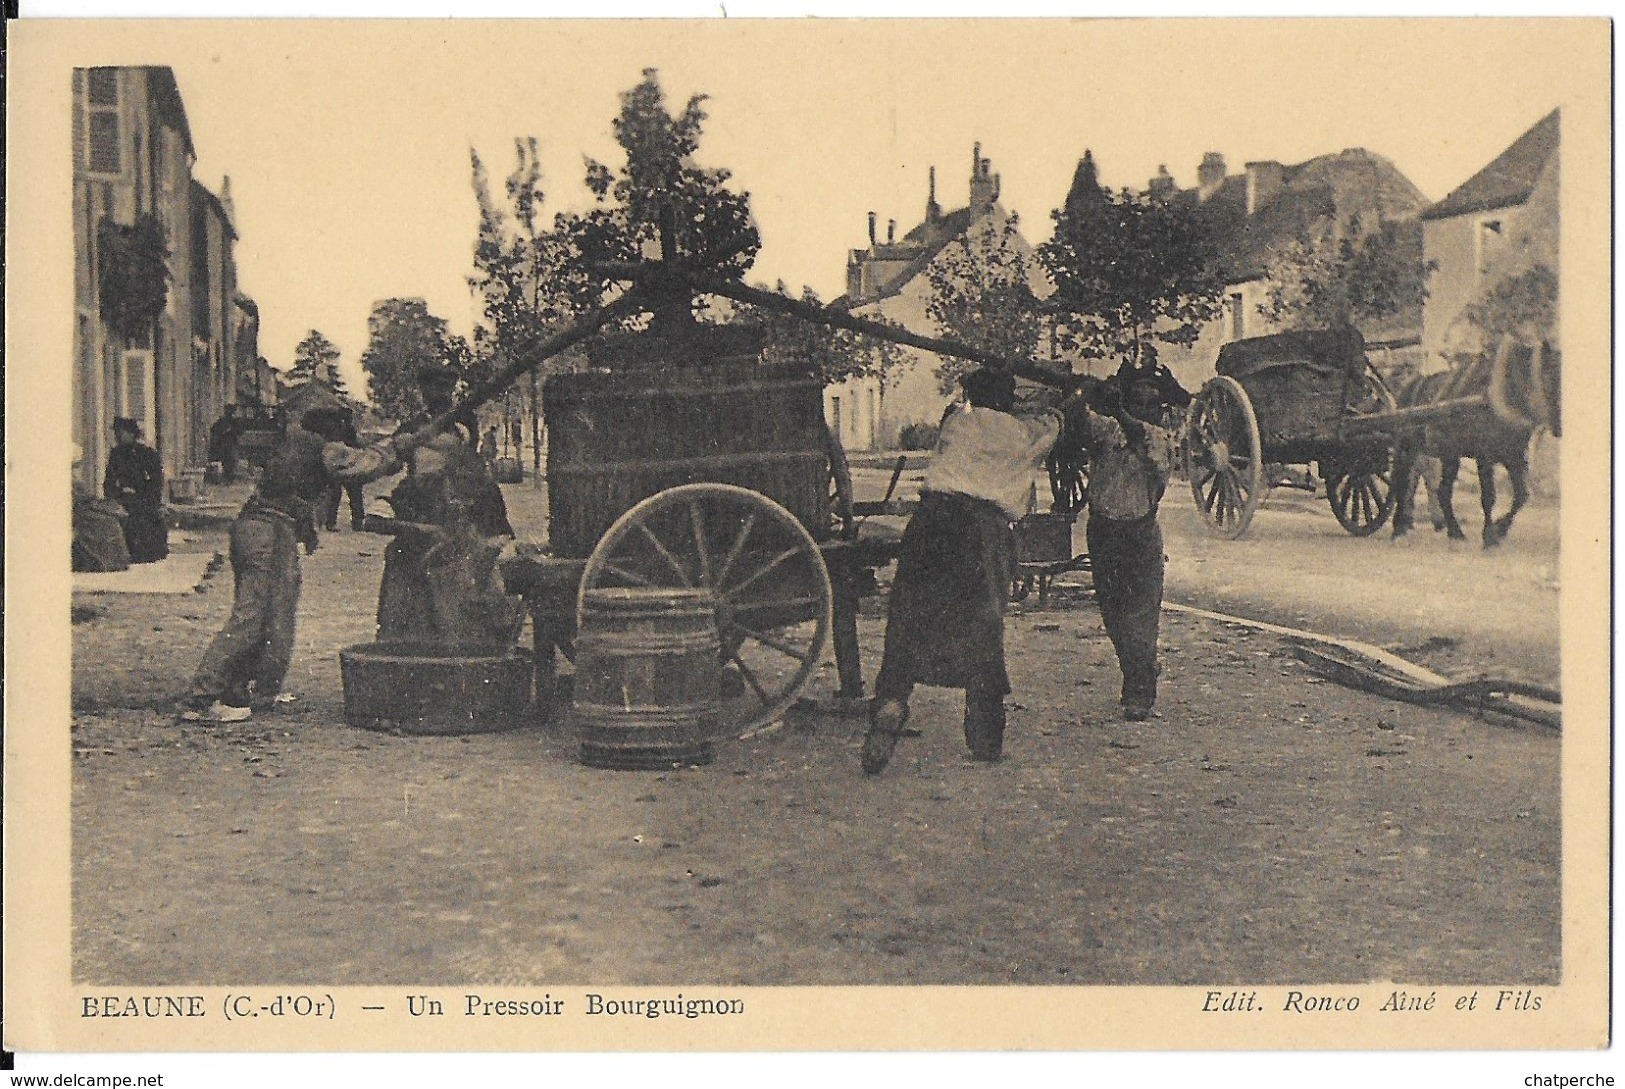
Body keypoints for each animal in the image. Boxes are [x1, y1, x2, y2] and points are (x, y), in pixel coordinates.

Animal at [1391, 339, 1553, 549]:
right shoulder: (1485, 458)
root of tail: (1406, 388)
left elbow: (1522, 495)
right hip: (1406, 449)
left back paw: (1454, 532)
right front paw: (1490, 536)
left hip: (1449, 456)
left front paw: (1500, 529)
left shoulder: (1514, 457)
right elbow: (1489, 497)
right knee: (1401, 483)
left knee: (1440, 489)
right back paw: (1399, 530)